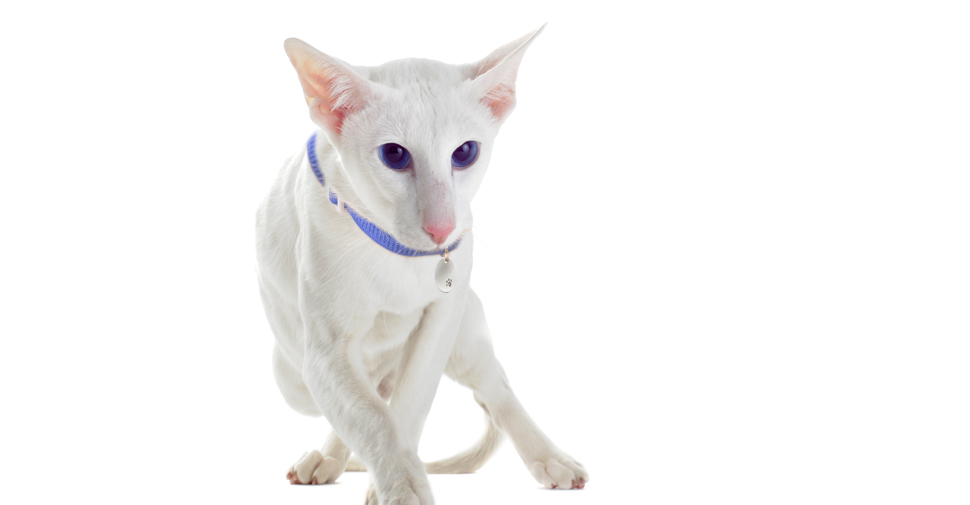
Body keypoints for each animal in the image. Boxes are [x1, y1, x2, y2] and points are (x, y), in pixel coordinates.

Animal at [253, 25, 588, 502]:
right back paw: (331, 457)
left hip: (464, 330)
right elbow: (373, 417)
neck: (399, 251)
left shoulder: (441, 318)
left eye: (465, 152)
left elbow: (409, 406)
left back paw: (548, 457)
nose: (441, 228)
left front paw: (395, 486)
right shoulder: (326, 353)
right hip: (291, 375)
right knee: (360, 398)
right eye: (394, 155)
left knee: (493, 386)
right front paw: (401, 484)